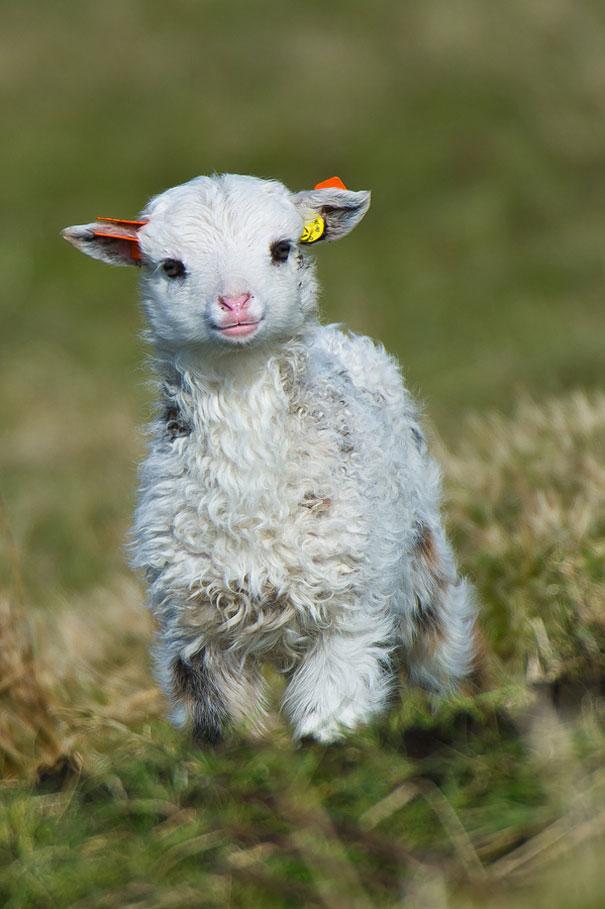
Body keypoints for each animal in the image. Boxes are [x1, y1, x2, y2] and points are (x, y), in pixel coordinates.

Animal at [62, 173, 478, 745]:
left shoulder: (348, 607)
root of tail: (338, 336)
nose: (235, 302)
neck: (249, 493)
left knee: (437, 648)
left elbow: (330, 709)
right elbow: (221, 726)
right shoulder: (194, 628)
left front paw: (334, 745)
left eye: (282, 249)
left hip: (421, 561)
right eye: (171, 266)